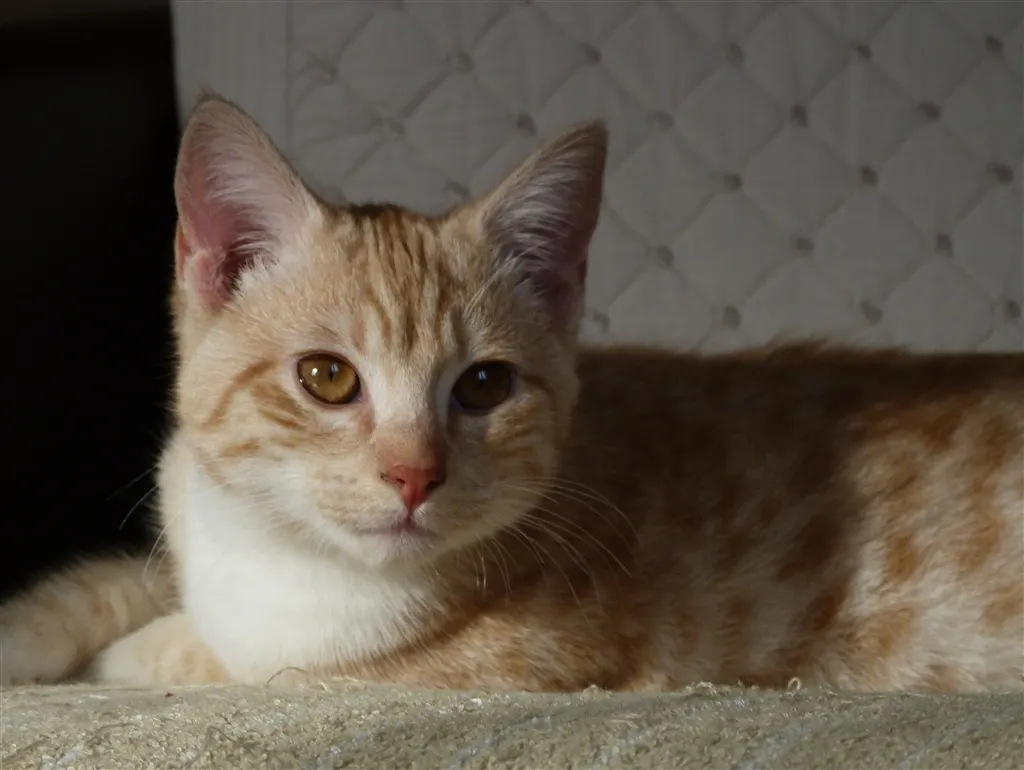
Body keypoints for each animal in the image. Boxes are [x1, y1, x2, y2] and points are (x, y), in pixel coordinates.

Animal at [1, 95, 1022, 694]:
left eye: (484, 385)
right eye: (328, 378)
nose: (415, 477)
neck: (275, 553)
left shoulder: (504, 665)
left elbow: (246, 663)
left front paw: (135, 656)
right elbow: (113, 581)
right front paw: (31, 636)